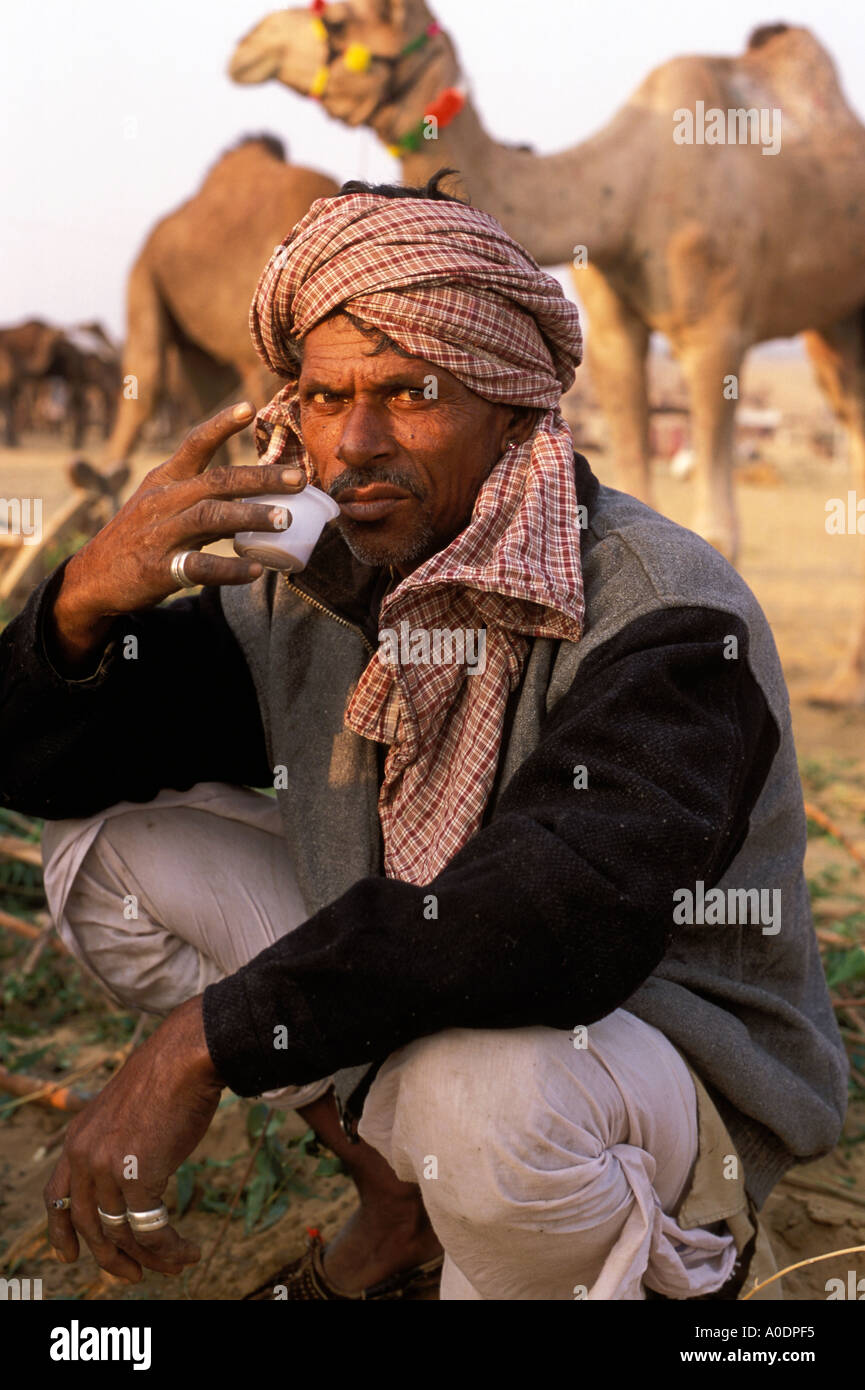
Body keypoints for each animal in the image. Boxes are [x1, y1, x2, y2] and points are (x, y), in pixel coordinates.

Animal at [229, 5, 865, 706]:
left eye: (347, 21)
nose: (248, 44)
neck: (623, 193)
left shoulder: (716, 329)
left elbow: (718, 526)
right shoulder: (613, 329)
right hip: (835, 323)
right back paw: (846, 678)